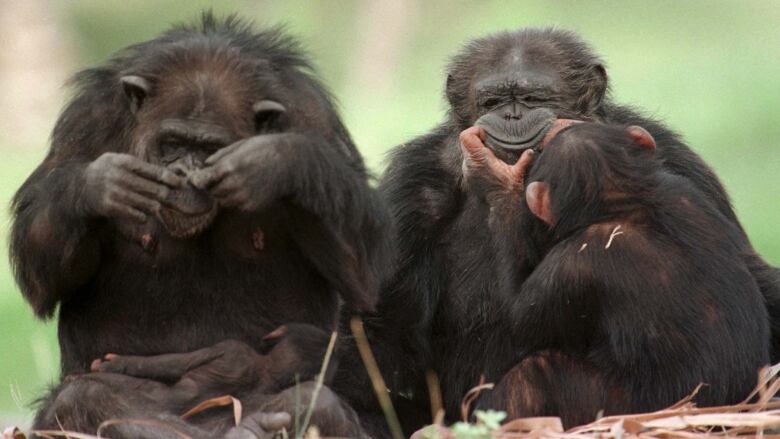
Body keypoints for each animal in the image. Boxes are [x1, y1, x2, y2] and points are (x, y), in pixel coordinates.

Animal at [12, 13, 386, 439]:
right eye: (173, 142)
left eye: (208, 149)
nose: (184, 173)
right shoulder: (87, 118)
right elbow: (40, 269)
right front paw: (101, 184)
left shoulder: (313, 116)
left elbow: (360, 269)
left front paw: (274, 160)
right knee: (83, 397)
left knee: (317, 402)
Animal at [466, 123, 772, 430]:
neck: (628, 202)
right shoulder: (688, 190)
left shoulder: (575, 261)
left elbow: (518, 319)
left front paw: (499, 182)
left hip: (627, 408)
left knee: (533, 376)